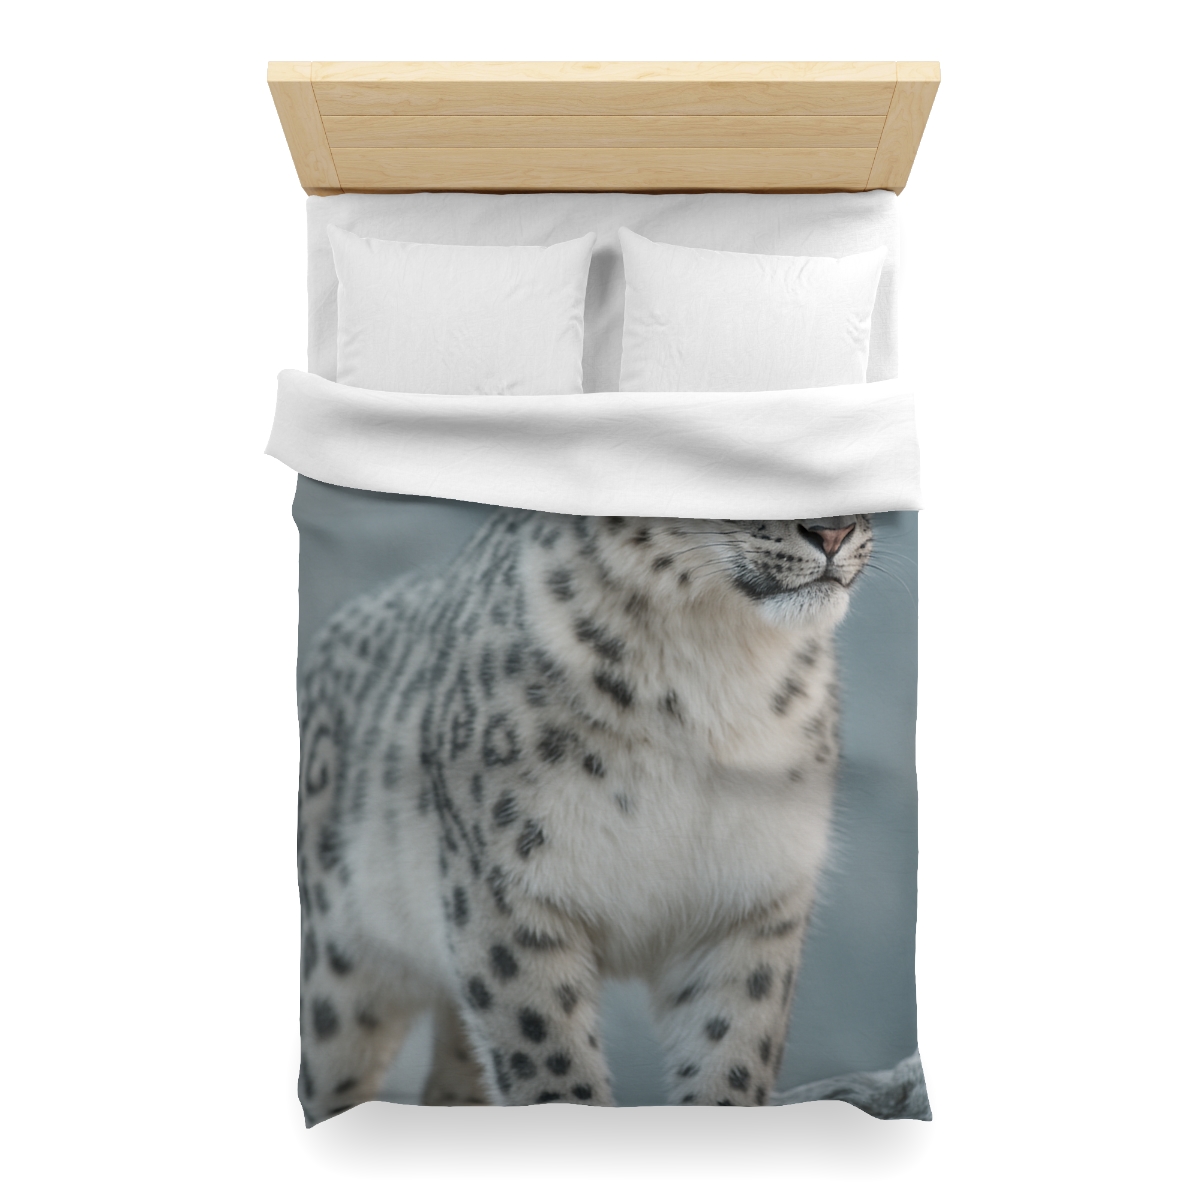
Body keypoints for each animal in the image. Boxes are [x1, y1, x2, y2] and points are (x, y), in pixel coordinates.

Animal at [296, 509, 872, 1120]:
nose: (832, 532)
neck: (720, 670)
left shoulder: (755, 898)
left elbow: (734, 1046)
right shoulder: (508, 891)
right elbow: (546, 1053)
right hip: (338, 962)